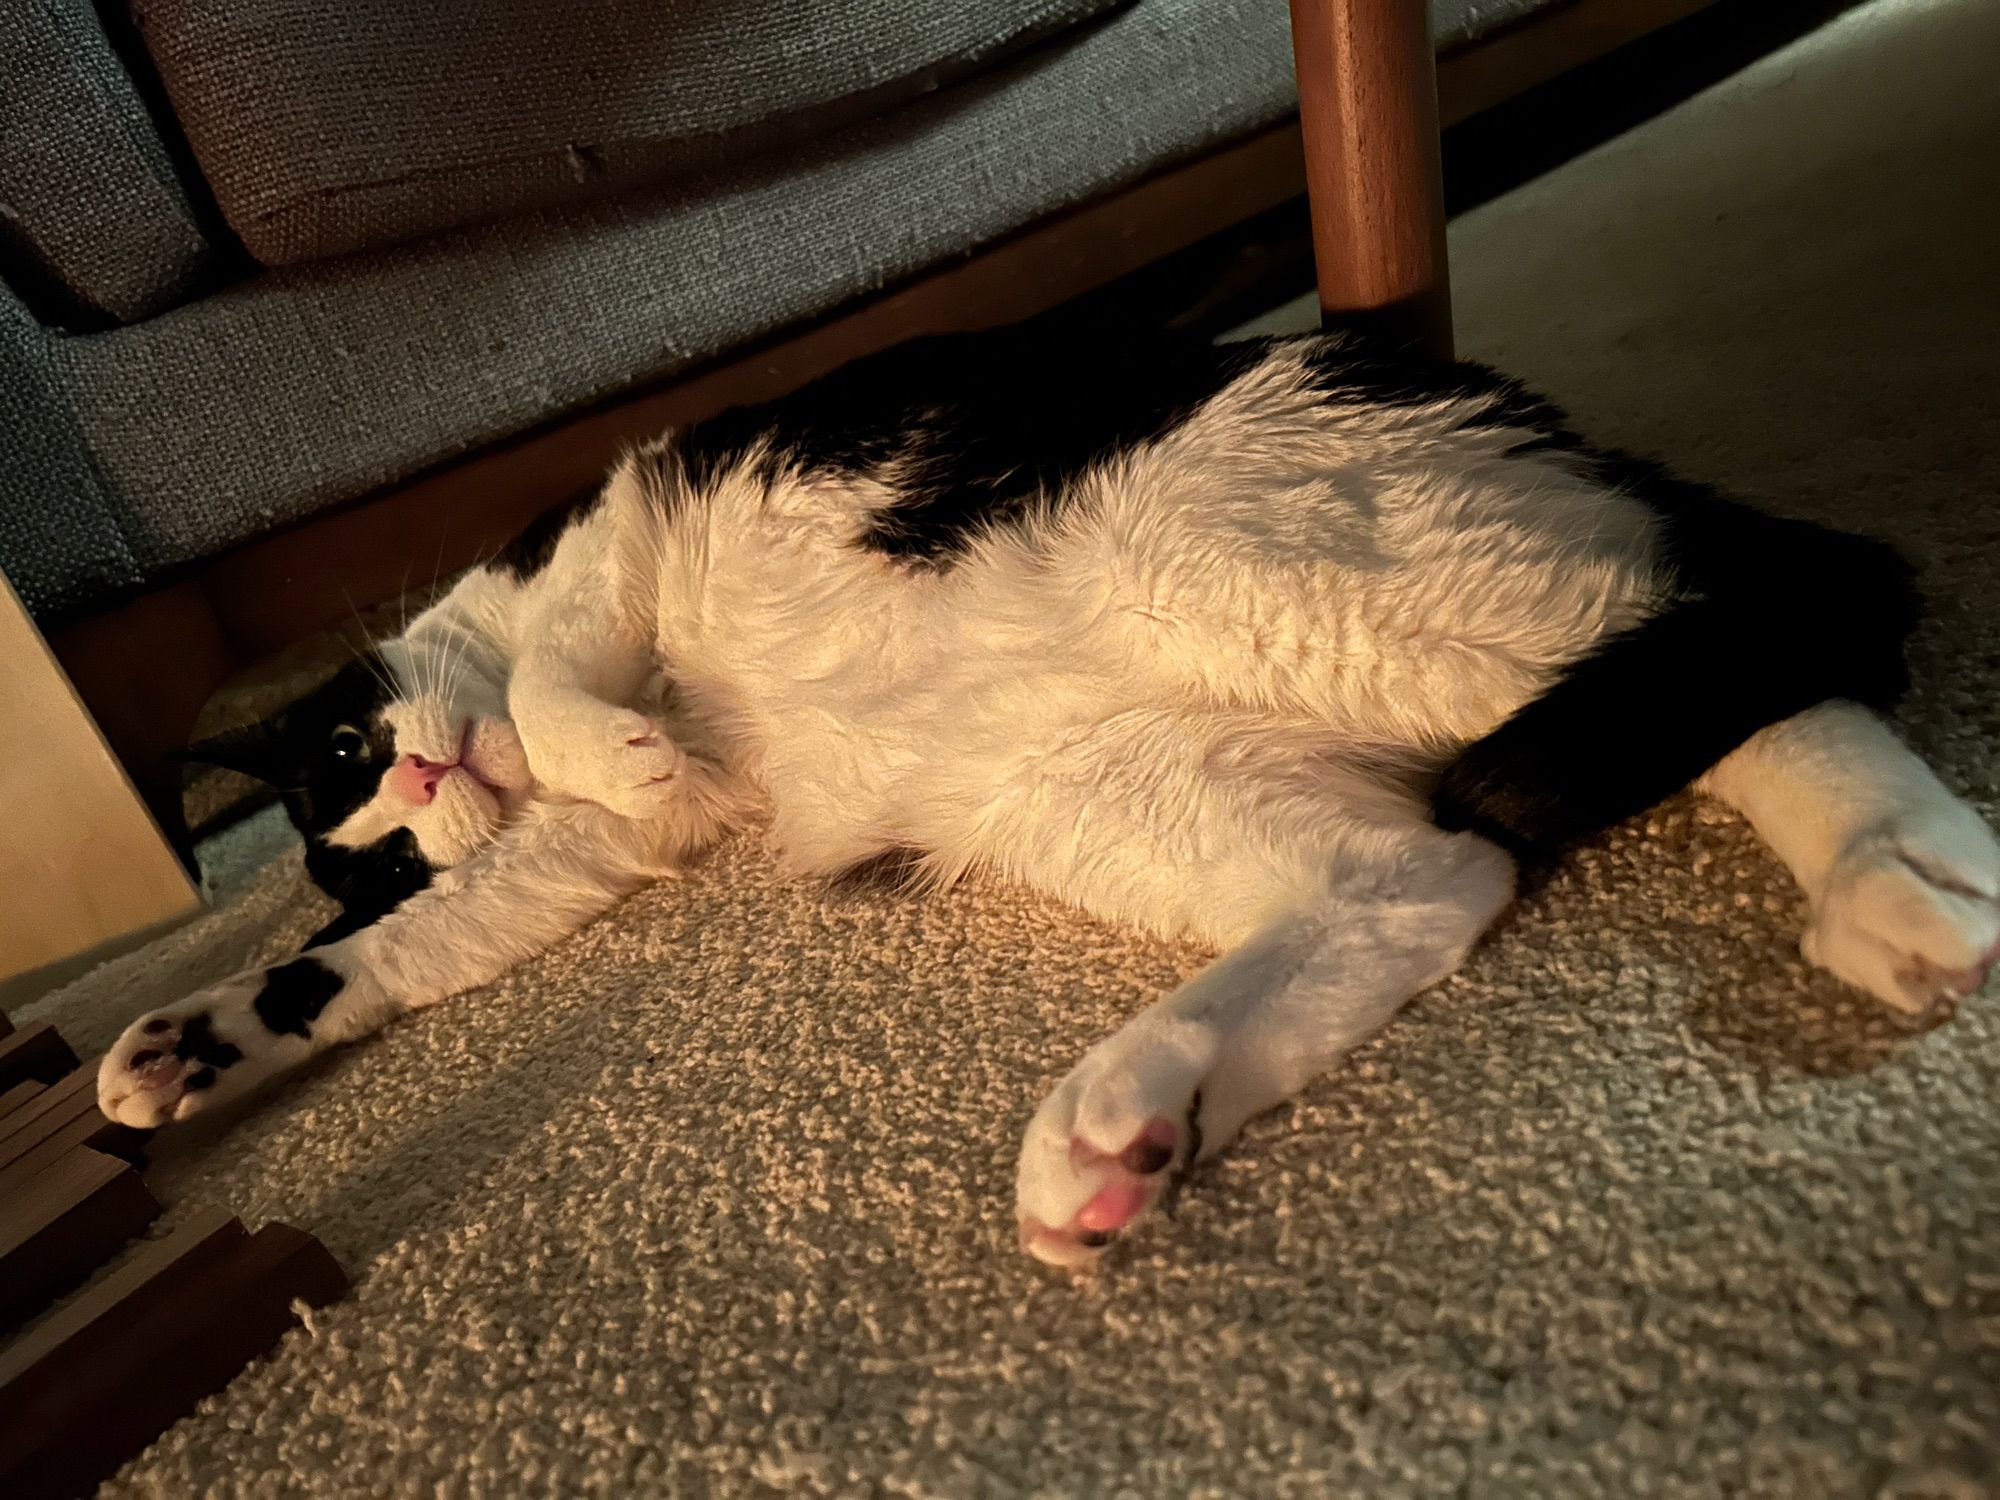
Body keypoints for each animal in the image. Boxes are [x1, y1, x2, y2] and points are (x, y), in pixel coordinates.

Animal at [97, 326, 2000, 1272]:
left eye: (349, 763)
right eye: (367, 833)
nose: (426, 773)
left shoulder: (604, 545)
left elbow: (570, 692)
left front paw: (612, 735)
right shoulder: (568, 871)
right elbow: (389, 961)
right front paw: (178, 1049)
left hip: (1313, 579)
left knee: (1787, 600)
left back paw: (1902, 868)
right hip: (1118, 777)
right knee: (1427, 871)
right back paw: (1122, 1125)